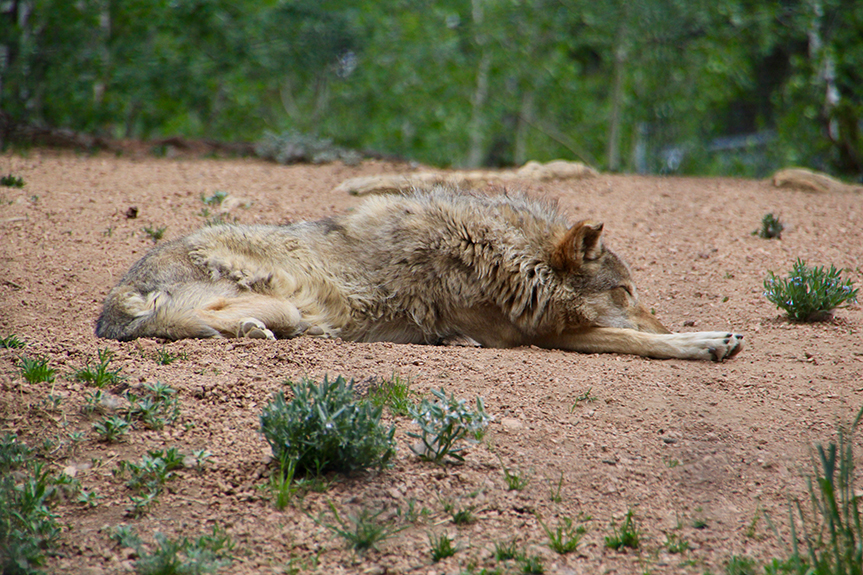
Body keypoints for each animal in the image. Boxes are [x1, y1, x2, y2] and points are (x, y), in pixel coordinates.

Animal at [94, 188, 744, 360]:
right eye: (626, 291)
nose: (659, 316)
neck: (510, 256)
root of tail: (110, 307)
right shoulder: (532, 334)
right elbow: (636, 339)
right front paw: (706, 341)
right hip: (286, 299)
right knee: (178, 319)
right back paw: (252, 330)